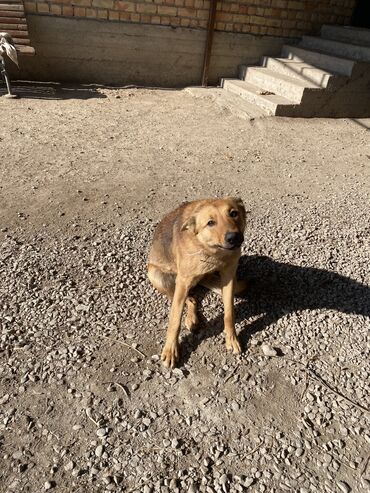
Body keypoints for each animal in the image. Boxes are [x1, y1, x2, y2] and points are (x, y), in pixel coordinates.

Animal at [147, 198, 246, 368]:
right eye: (210, 222)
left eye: (234, 213)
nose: (233, 237)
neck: (211, 250)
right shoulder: (183, 281)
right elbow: (174, 320)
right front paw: (171, 350)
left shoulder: (229, 276)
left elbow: (229, 313)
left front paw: (231, 338)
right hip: (157, 276)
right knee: (190, 299)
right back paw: (191, 318)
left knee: (194, 298)